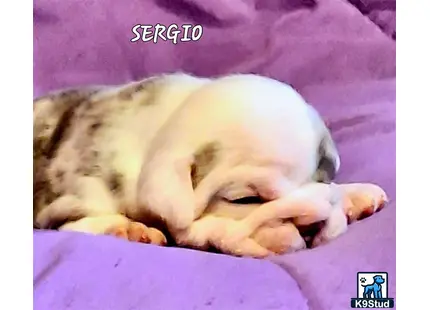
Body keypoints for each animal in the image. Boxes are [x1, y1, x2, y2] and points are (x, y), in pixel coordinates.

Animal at [33, 72, 386, 256]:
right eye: (245, 199)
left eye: (323, 179)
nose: (311, 225)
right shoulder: (66, 204)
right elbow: (79, 225)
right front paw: (130, 229)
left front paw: (355, 194)